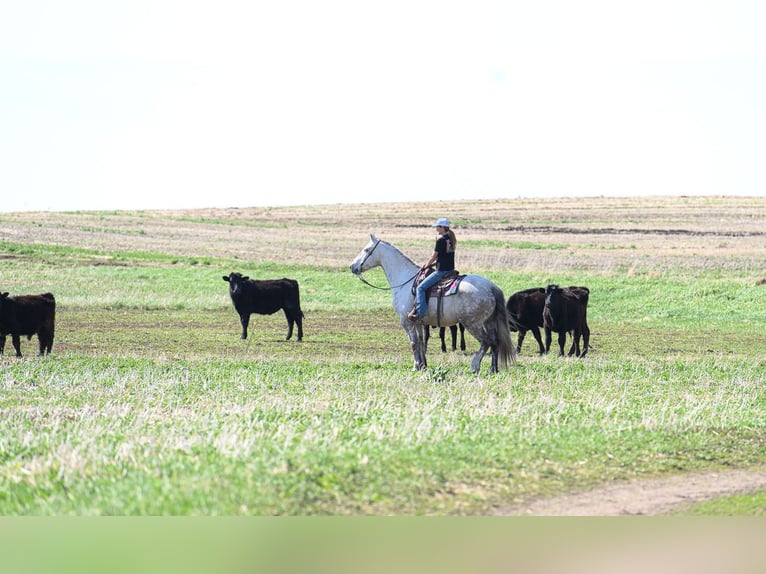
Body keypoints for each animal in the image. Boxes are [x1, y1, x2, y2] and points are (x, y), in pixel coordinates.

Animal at [349, 234, 515, 373]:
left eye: (366, 249)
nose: (352, 267)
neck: (405, 280)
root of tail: (491, 287)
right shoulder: (417, 321)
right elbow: (421, 342)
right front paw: (423, 365)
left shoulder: (406, 321)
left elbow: (413, 343)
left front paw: (416, 366)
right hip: (488, 321)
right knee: (495, 342)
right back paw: (493, 369)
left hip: (472, 323)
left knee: (485, 342)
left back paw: (475, 366)